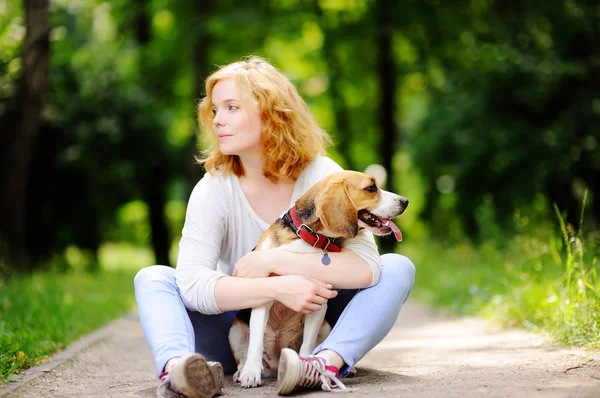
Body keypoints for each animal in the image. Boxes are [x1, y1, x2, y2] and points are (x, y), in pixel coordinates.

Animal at [230, 169, 408, 388]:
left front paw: (309, 367)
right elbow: (255, 343)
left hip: (325, 327)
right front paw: (250, 374)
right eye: (371, 188)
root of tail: (276, 363)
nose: (405, 201)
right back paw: (242, 371)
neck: (306, 237)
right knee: (243, 355)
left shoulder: (318, 304)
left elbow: (307, 345)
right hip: (235, 331)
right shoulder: (263, 300)